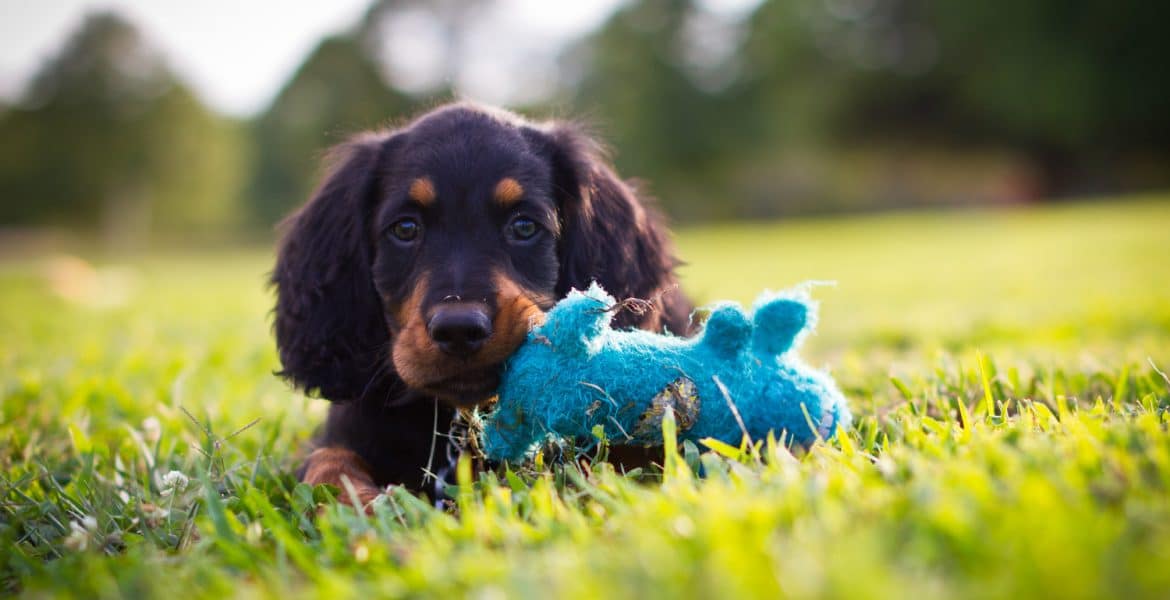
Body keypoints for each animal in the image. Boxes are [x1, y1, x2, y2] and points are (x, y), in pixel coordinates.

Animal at [271, 104, 692, 505]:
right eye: (405, 229)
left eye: (524, 226)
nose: (459, 330)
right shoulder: (342, 433)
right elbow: (329, 467)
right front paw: (371, 508)